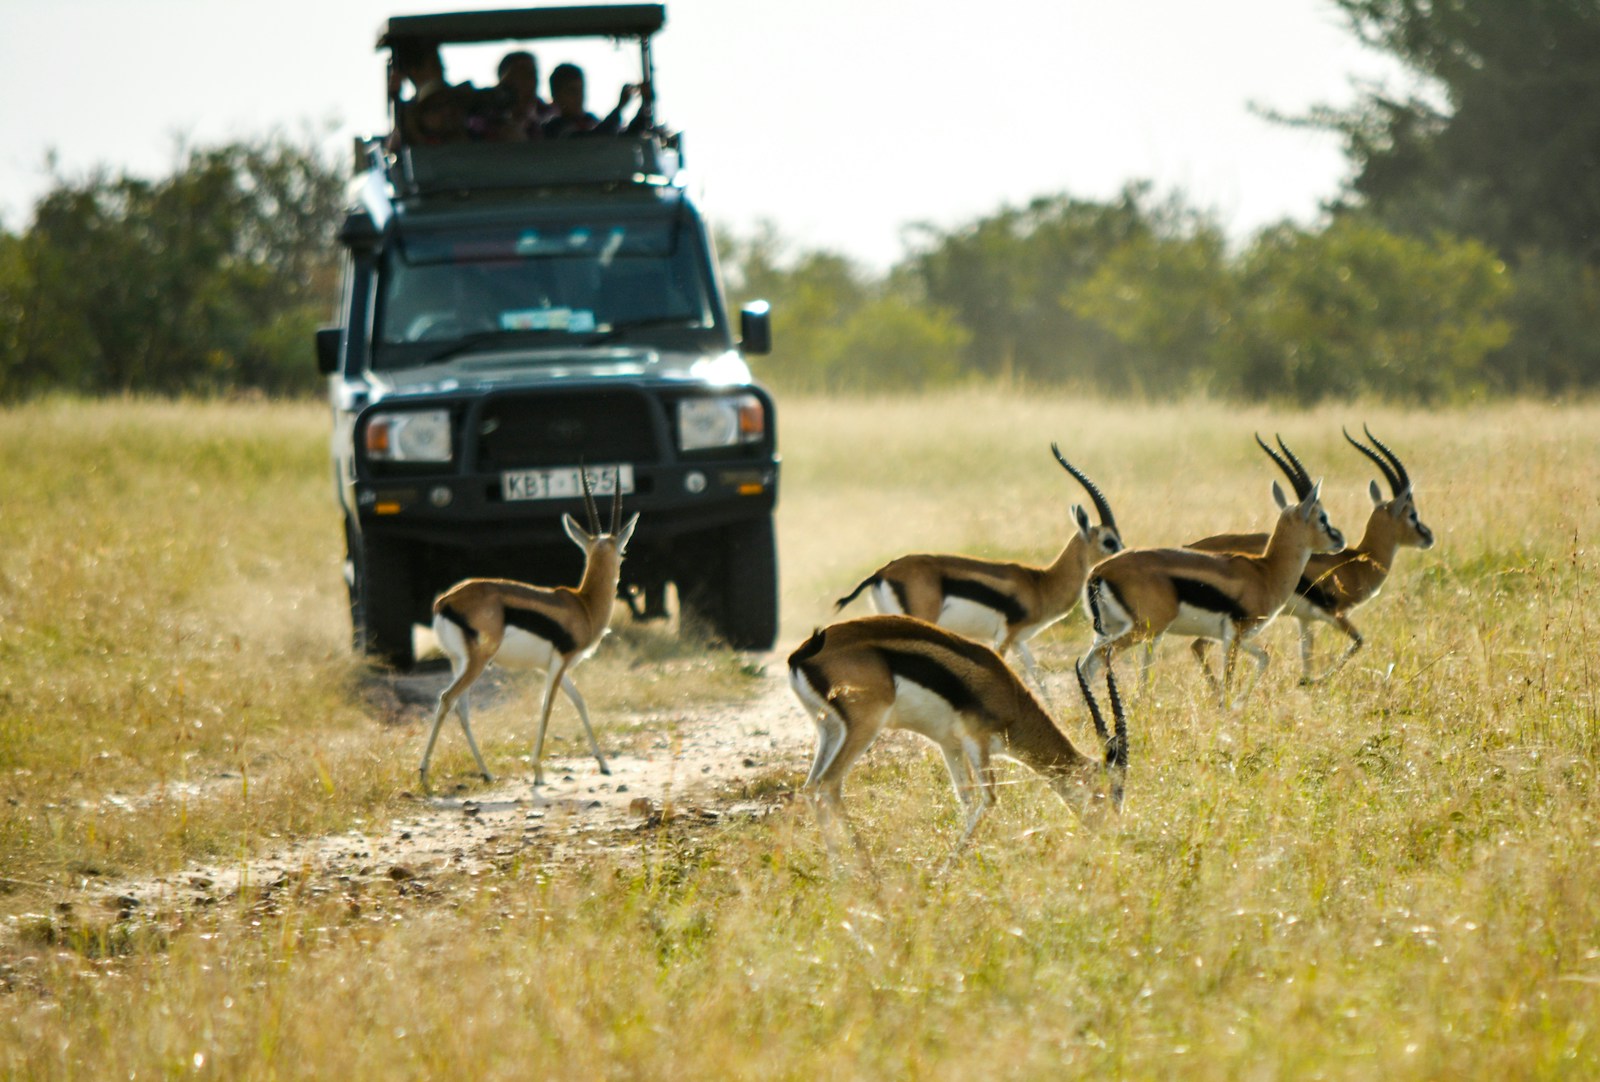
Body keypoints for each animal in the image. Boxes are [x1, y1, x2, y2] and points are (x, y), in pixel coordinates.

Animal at [419, 469, 639, 788]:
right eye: (622, 553)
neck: (583, 606)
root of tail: (445, 601)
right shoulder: (559, 663)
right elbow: (548, 705)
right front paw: (537, 771)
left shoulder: (555, 666)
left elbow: (580, 702)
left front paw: (604, 764)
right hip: (479, 661)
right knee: (448, 698)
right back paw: (424, 773)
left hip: (459, 661)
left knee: (461, 708)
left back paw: (486, 772)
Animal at [788, 613, 1127, 868]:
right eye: (1107, 789)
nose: (1110, 832)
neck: (1011, 699)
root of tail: (804, 653)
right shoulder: (977, 741)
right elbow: (989, 799)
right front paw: (947, 869)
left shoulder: (949, 745)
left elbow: (966, 799)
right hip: (864, 728)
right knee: (828, 784)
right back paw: (866, 873)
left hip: (830, 730)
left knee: (811, 787)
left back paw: (841, 873)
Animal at [833, 444, 1122, 701]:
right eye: (1109, 540)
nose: (1124, 556)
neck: (1040, 584)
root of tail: (882, 572)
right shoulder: (1003, 638)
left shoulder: (1020, 641)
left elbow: (1040, 680)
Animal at [1079, 435, 1345, 710]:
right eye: (1322, 517)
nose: (1339, 539)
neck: (1266, 571)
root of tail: (1099, 571)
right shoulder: (1233, 636)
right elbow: (1229, 678)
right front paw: (1229, 706)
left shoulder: (1239, 637)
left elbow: (1264, 657)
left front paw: (1237, 703)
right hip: (1143, 630)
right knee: (1097, 659)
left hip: (1112, 629)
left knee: (1087, 664)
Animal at [1187, 425, 1434, 683]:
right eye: (1413, 514)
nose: (1429, 536)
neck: (1357, 562)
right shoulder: (1335, 614)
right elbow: (1358, 642)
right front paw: (1312, 682)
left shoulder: (1304, 619)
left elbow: (1307, 654)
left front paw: (1305, 681)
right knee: (1199, 645)